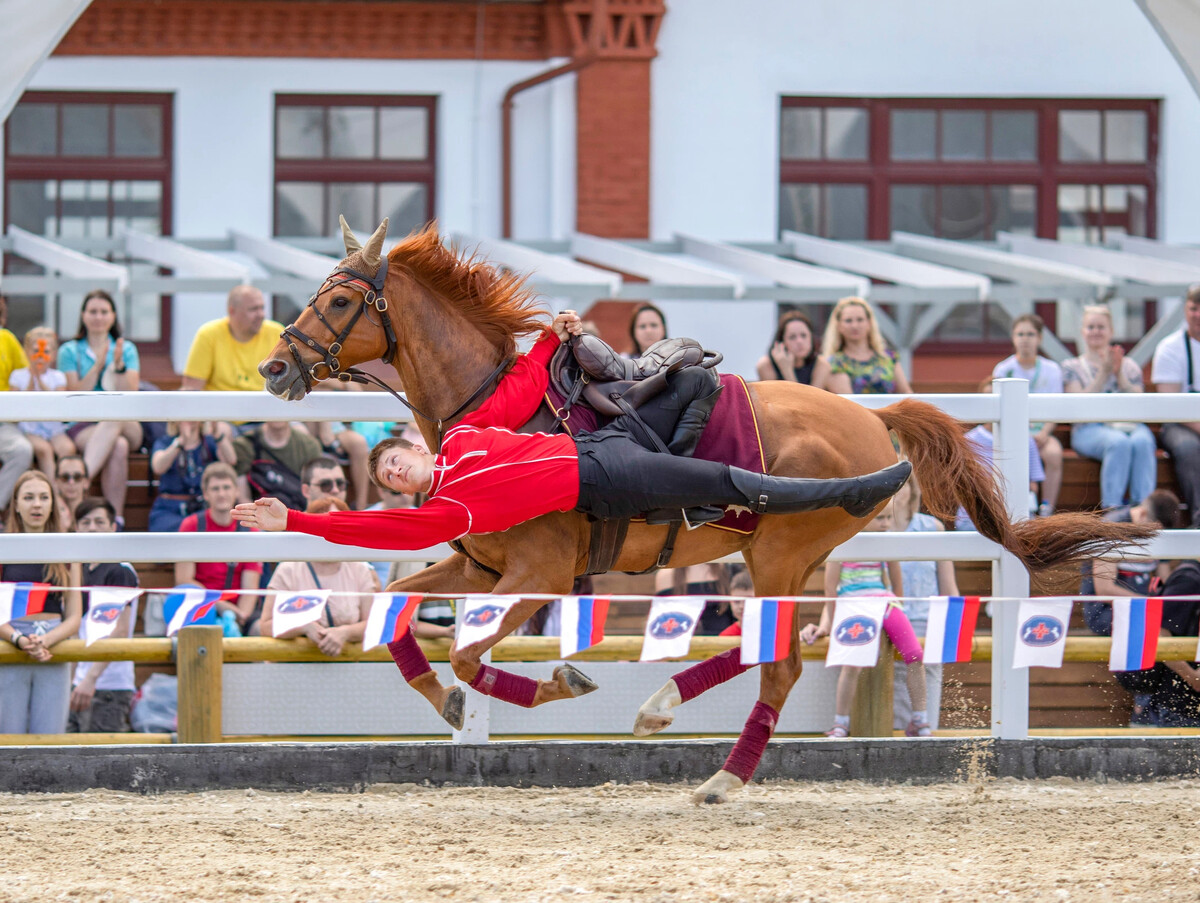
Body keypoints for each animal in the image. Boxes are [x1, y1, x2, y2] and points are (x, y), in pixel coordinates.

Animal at [260, 222, 1152, 802]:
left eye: (337, 301)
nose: (273, 367)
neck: (501, 409)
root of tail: (874, 417)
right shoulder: (479, 562)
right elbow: (398, 608)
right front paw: (447, 699)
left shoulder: (536, 573)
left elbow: (472, 652)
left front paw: (554, 683)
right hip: (787, 562)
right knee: (774, 654)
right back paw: (683, 728)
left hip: (779, 555)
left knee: (780, 662)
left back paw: (710, 760)